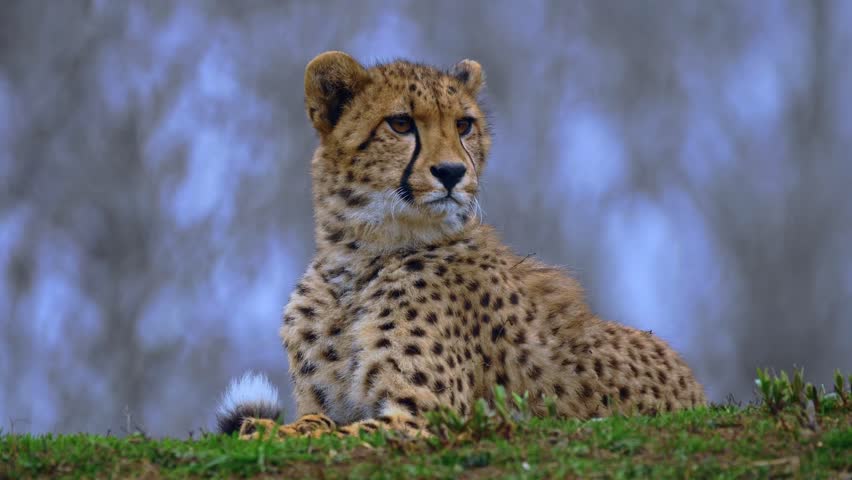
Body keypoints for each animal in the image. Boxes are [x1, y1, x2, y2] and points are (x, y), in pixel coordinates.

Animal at [215, 51, 706, 440]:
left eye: (464, 124)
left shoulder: (424, 416)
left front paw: (266, 430)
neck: (359, 257)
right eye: (400, 123)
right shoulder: (329, 402)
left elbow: (327, 432)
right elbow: (315, 421)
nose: (452, 172)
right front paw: (267, 426)